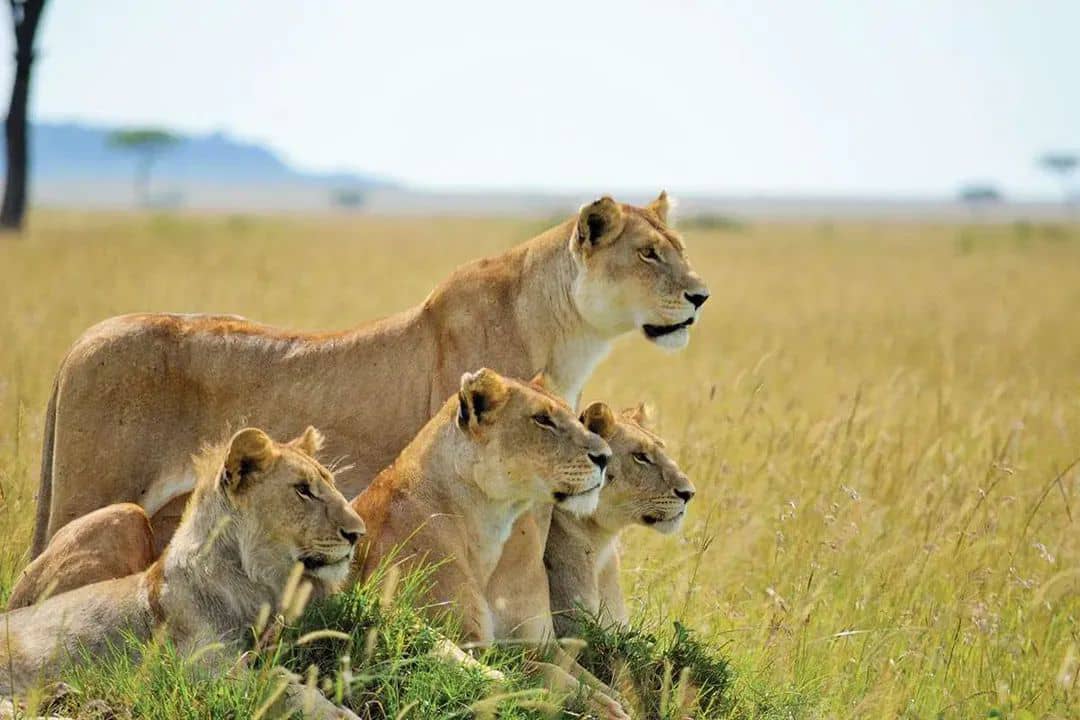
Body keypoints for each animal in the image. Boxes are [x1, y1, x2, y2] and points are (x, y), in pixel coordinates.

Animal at [2, 427, 366, 719]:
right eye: (303, 490)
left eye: (330, 484)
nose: (358, 533)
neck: (256, 583)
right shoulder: (205, 671)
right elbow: (277, 685)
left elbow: (283, 676)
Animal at [32, 192, 708, 558]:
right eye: (649, 254)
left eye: (680, 249)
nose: (701, 296)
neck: (569, 334)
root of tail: (77, 344)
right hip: (90, 495)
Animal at [350, 368, 628, 720]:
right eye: (542, 420)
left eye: (573, 416)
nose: (606, 457)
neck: (490, 524)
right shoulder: (474, 643)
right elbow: (540, 676)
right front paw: (601, 707)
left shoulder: (540, 643)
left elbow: (585, 678)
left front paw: (613, 699)